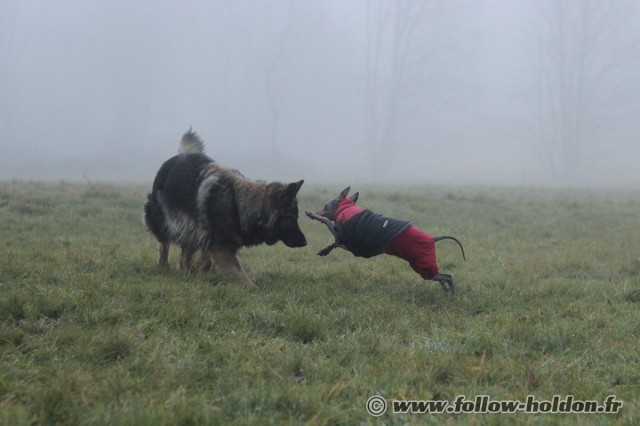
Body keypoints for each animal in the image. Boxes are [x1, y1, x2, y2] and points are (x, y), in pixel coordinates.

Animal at [143, 128, 308, 284]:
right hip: (163, 221)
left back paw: (187, 271)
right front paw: (254, 288)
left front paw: (202, 273)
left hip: (192, 229)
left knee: (186, 252)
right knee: (163, 243)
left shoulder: (214, 243)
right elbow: (240, 275)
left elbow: (207, 262)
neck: (238, 203)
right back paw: (164, 265)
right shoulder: (220, 247)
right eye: (292, 218)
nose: (305, 242)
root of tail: (183, 154)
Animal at [306, 187, 464, 292]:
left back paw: (451, 294)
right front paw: (325, 250)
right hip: (421, 266)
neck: (346, 209)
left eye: (325, 205)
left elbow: (327, 221)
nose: (318, 211)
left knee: (447, 276)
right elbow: (335, 243)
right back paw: (446, 291)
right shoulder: (348, 243)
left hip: (423, 266)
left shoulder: (342, 235)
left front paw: (313, 215)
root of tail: (432, 239)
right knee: (443, 278)